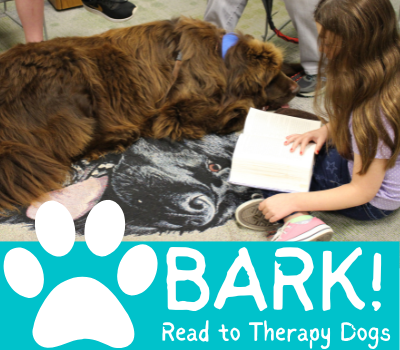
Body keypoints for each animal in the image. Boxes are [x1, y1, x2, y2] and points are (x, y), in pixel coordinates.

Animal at [0, 17, 296, 213]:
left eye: (279, 69)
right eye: (271, 77)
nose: (294, 87)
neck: (222, 59)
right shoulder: (174, 114)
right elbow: (237, 112)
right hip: (73, 75)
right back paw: (119, 136)